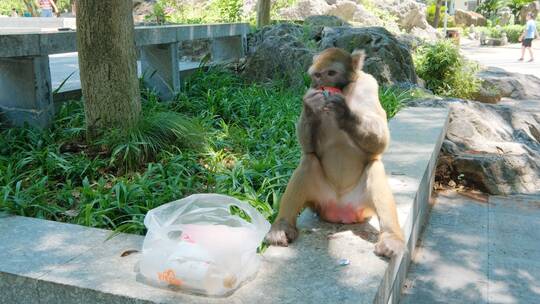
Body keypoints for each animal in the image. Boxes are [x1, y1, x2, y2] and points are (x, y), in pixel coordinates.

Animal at [266, 48, 404, 258]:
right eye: (317, 74)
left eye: (331, 73)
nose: (322, 83)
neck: (346, 89)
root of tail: (340, 211)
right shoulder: (309, 90)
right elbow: (309, 148)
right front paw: (310, 106)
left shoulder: (369, 84)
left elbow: (381, 141)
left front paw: (344, 112)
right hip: (319, 200)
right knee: (308, 161)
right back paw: (281, 227)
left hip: (362, 206)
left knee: (374, 166)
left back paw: (391, 237)